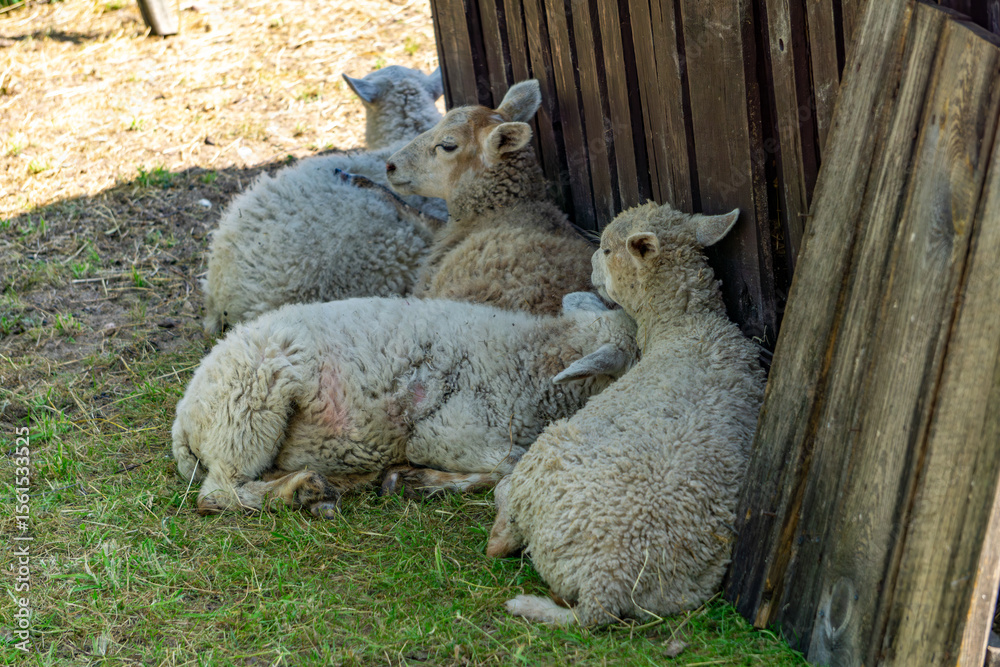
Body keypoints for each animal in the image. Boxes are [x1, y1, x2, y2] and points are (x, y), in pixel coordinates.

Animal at [172, 292, 638, 517]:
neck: (532, 361)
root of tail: (184, 418)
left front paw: (405, 480)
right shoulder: (447, 433)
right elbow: (511, 465)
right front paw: (418, 482)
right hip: (249, 406)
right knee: (218, 494)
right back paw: (302, 490)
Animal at [486, 201, 766, 626]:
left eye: (605, 249)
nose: (588, 266)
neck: (689, 327)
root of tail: (606, 582)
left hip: (547, 451)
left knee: (502, 524)